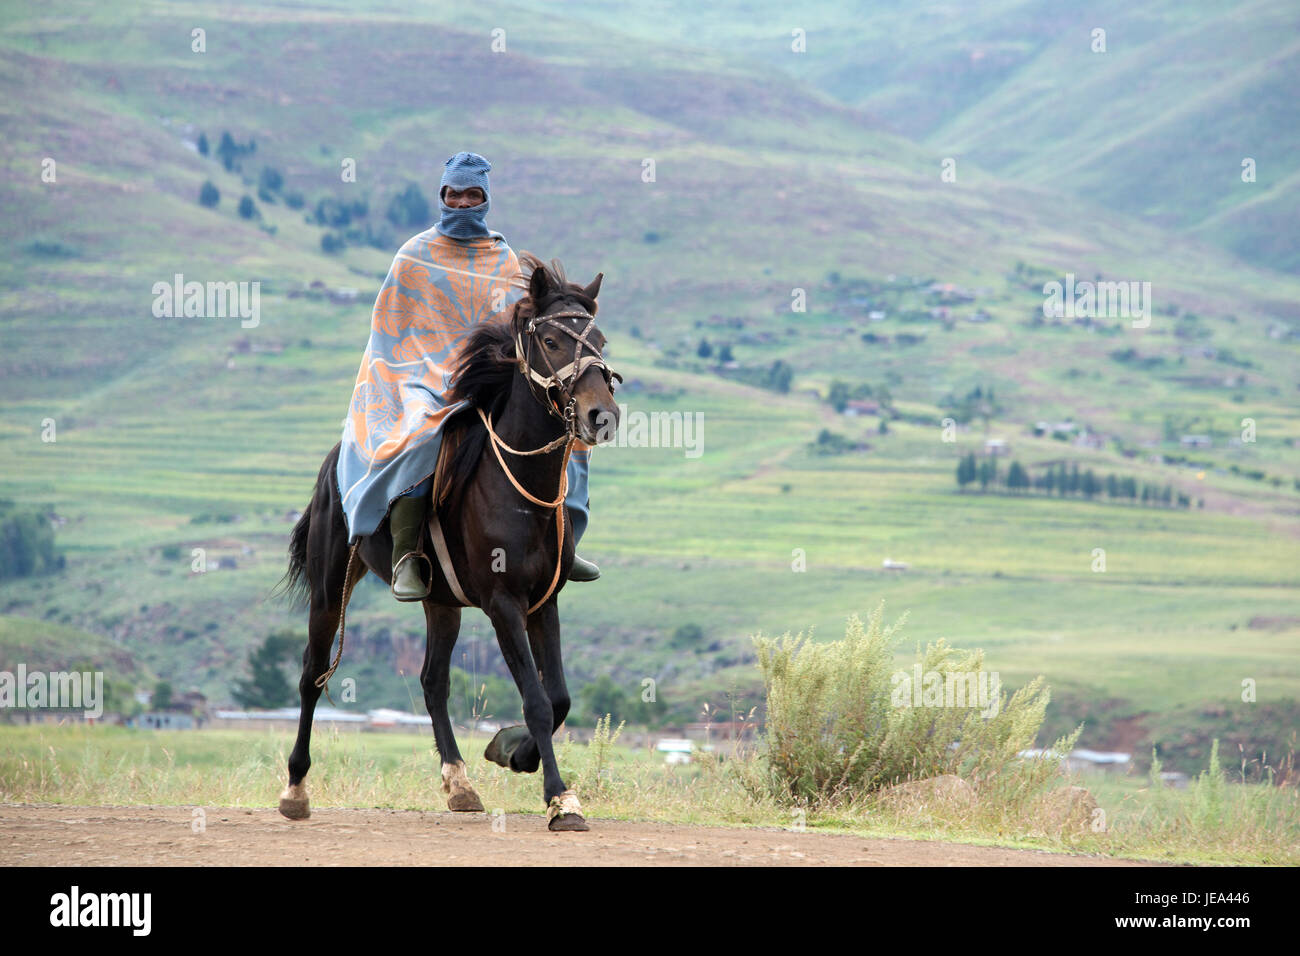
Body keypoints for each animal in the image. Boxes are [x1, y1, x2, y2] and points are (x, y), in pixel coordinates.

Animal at [274, 254, 618, 832]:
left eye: (599, 341)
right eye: (551, 339)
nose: (602, 416)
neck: (519, 487)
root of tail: (335, 462)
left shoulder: (543, 604)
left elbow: (559, 698)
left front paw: (512, 752)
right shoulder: (504, 605)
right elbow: (537, 702)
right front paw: (559, 799)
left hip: (441, 602)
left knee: (433, 681)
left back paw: (459, 783)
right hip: (329, 587)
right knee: (311, 675)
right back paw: (296, 788)